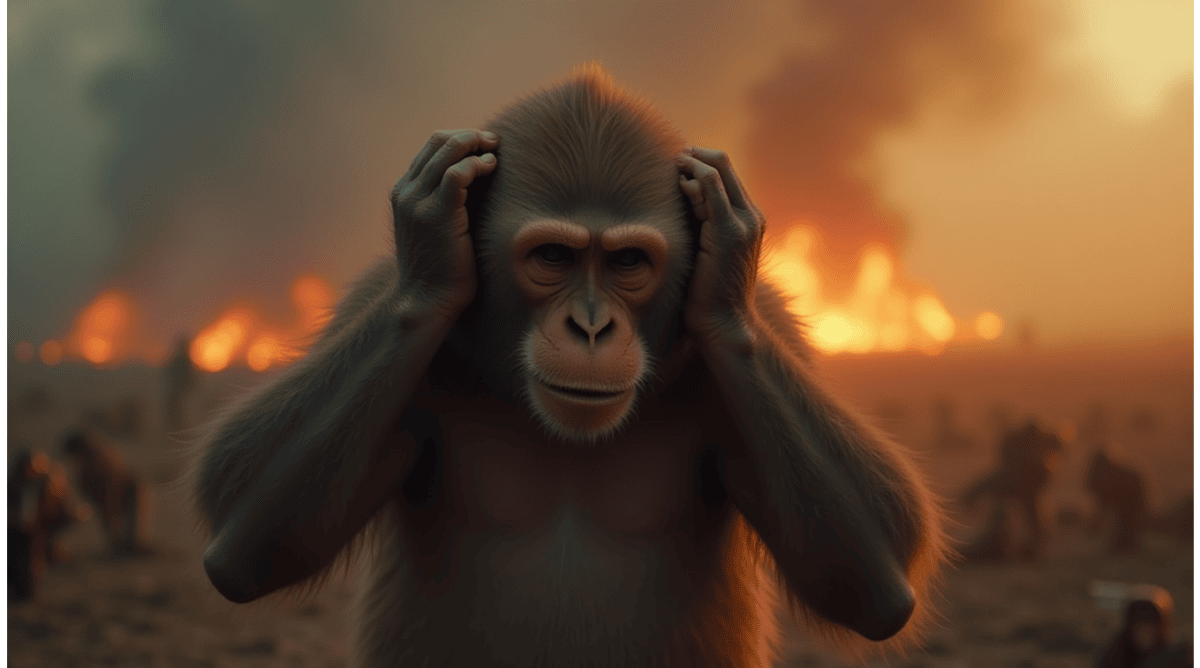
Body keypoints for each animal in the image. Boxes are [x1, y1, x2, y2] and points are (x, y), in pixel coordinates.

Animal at [193, 68, 947, 667]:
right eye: (553, 257)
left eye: (628, 262)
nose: (590, 325)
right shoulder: (375, 300)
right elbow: (244, 531)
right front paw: (432, 232)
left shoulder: (772, 326)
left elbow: (878, 572)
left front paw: (730, 246)